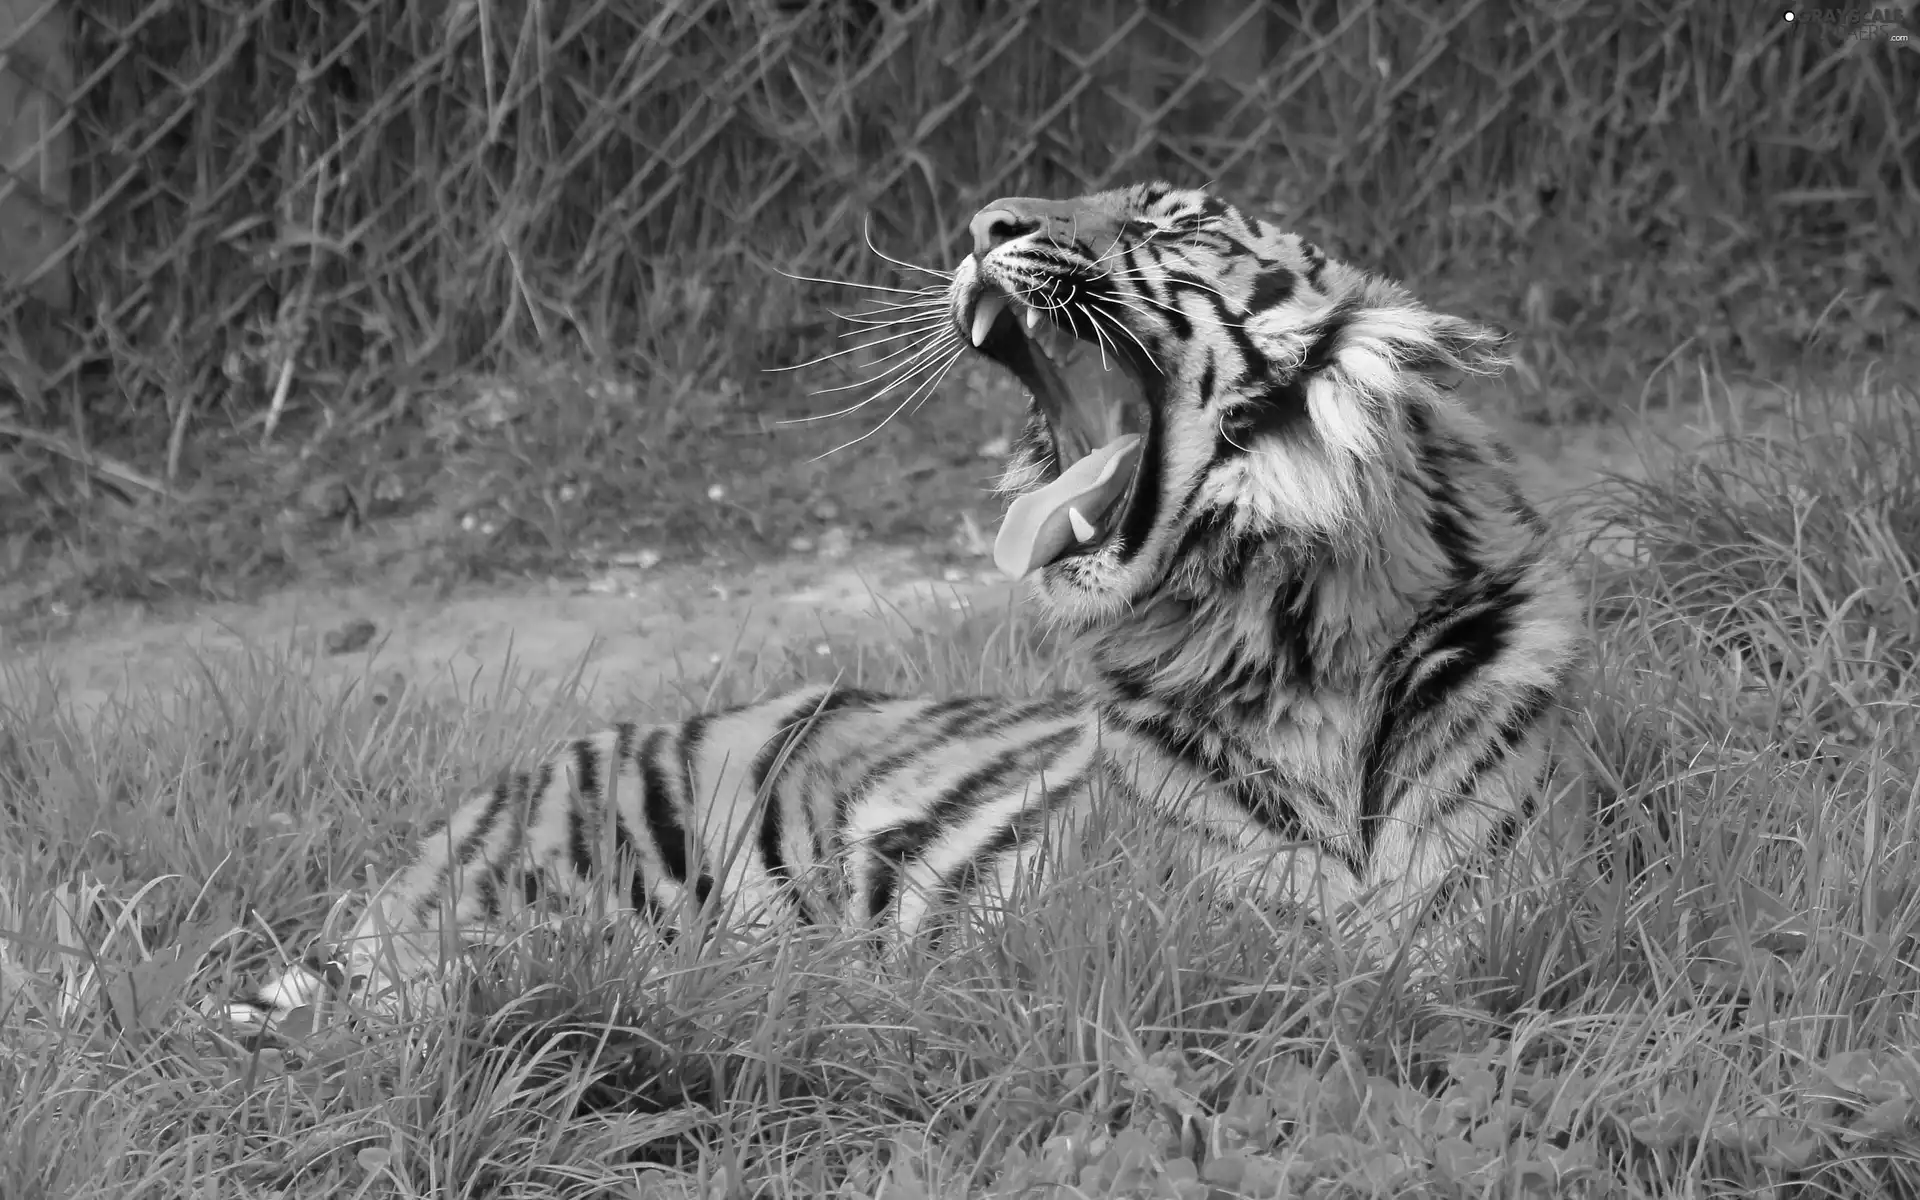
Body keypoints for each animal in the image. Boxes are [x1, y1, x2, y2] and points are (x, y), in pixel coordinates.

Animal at [214, 182, 1589, 1036]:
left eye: (1167, 218)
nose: (985, 221)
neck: (1291, 632)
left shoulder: (1490, 919)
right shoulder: (1213, 937)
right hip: (574, 910)